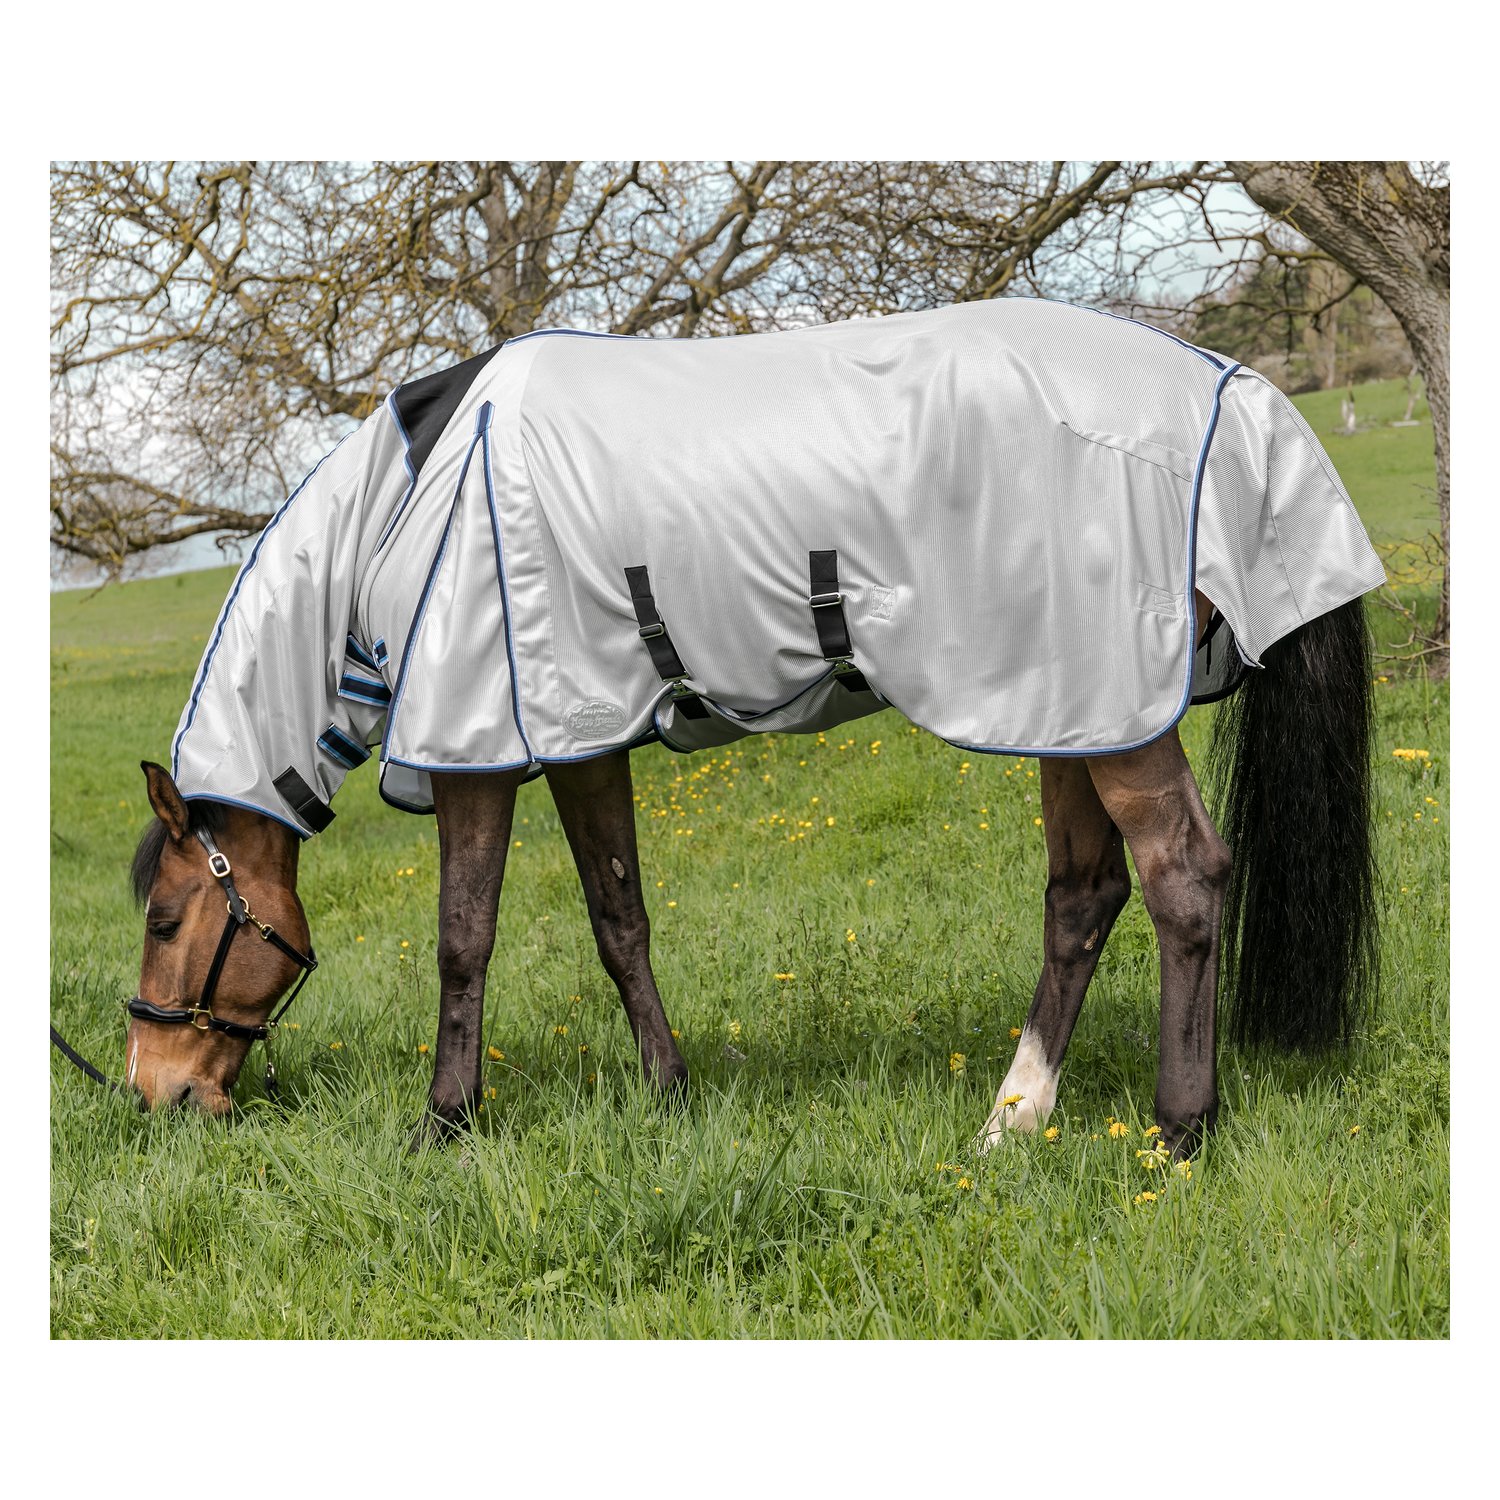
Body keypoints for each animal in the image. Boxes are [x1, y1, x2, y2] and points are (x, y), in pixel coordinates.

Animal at [119, 299, 1382, 1155]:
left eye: (170, 916)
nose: (154, 1091)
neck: (415, 499)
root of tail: (1233, 391)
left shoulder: (478, 750)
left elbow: (461, 938)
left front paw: (445, 1122)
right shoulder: (576, 737)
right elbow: (618, 919)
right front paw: (668, 1093)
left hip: (1111, 716)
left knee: (1183, 879)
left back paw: (1179, 1130)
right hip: (1077, 704)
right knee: (1084, 897)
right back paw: (1012, 1120)